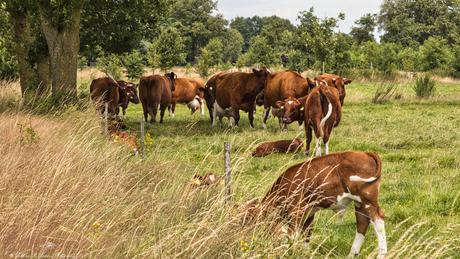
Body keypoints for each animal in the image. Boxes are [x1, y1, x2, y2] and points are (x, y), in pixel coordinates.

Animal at [239, 152, 386, 259]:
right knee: (362, 222)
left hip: (367, 200)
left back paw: (381, 254)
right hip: (359, 203)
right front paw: (305, 253)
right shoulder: (309, 211)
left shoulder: (297, 209)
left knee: (378, 219)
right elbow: (307, 232)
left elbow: (292, 235)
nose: (241, 237)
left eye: (247, 219)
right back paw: (352, 253)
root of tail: (365, 153)